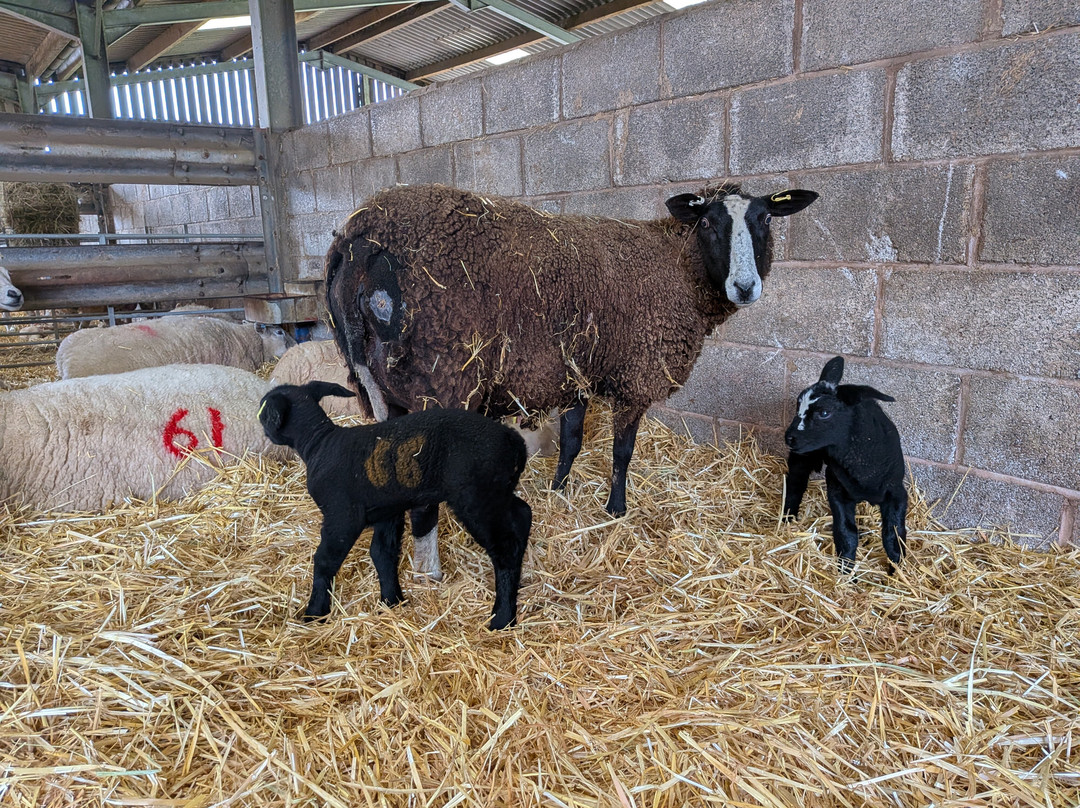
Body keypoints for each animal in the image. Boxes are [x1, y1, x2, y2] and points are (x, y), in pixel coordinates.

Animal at [257, 381, 532, 630]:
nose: (264, 429)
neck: (319, 442)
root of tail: (514, 441)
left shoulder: (342, 516)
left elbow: (325, 560)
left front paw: (315, 612)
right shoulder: (386, 511)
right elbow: (382, 554)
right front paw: (392, 600)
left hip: (477, 499)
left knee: (505, 549)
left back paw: (502, 618)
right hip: (497, 492)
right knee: (522, 514)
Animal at [323, 181, 818, 568]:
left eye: (765, 220)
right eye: (710, 223)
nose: (745, 287)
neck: (677, 265)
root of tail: (359, 240)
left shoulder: (573, 371)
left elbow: (572, 439)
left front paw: (559, 490)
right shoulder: (637, 373)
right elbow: (621, 452)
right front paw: (616, 509)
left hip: (380, 388)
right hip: (441, 384)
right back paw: (432, 572)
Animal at [782, 356, 908, 573]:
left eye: (824, 412)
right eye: (798, 407)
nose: (789, 437)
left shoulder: (897, 492)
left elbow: (894, 536)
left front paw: (897, 571)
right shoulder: (837, 490)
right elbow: (846, 534)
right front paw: (846, 572)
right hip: (803, 456)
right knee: (795, 484)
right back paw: (787, 519)